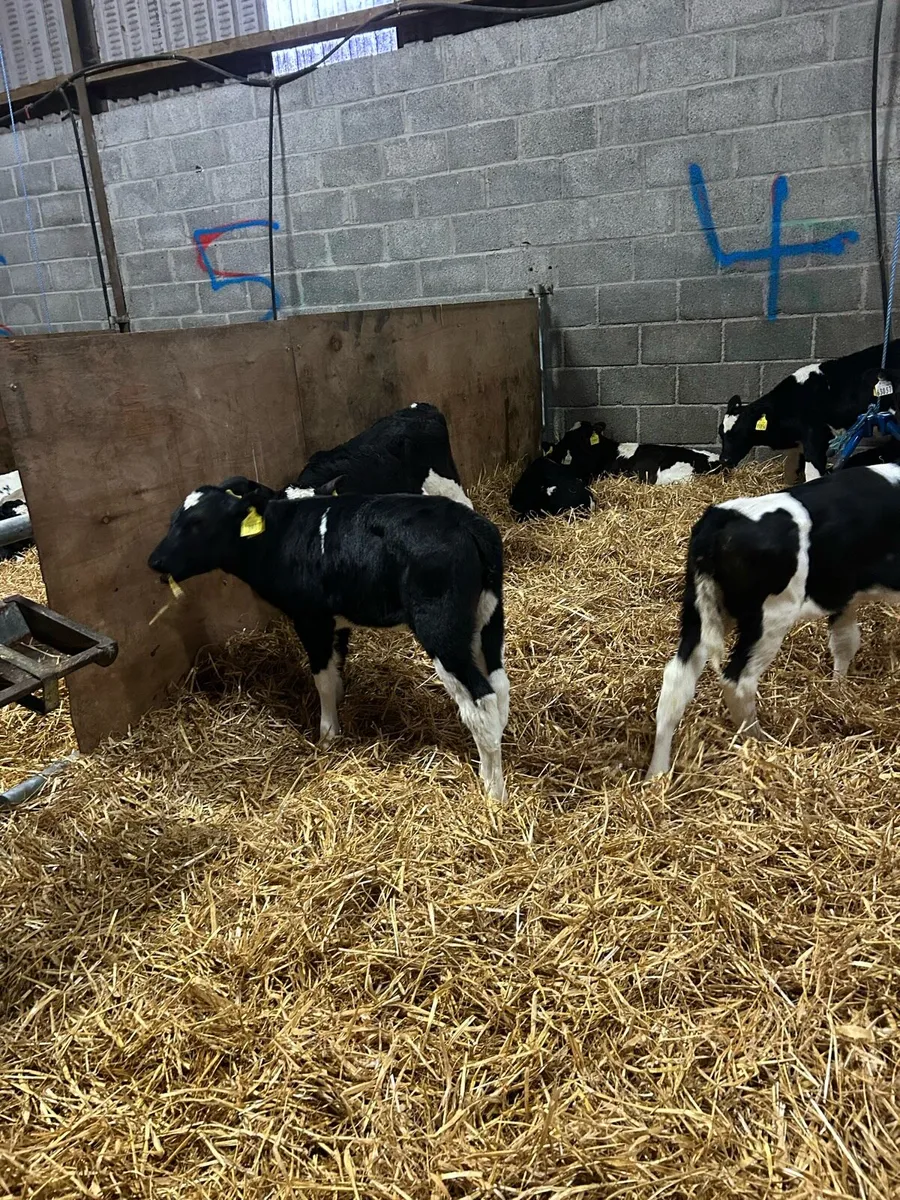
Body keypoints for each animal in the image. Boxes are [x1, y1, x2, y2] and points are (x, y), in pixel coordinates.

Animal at [148, 477, 509, 799]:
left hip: (441, 627)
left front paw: (326, 736)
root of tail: (469, 523)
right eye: (173, 519)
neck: (279, 538)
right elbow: (337, 673)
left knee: (481, 698)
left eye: (197, 523)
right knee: (500, 685)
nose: (155, 561)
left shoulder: (312, 619)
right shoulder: (338, 622)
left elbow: (322, 679)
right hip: (488, 617)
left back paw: (493, 793)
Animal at [645, 464, 900, 779]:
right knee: (738, 680)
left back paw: (656, 775)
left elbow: (845, 642)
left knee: (676, 682)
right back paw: (761, 743)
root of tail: (722, 517)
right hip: (769, 617)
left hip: (698, 611)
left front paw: (837, 691)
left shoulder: (845, 596)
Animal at [718, 341, 900, 483]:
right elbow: (791, 470)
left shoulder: (815, 438)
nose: (724, 460)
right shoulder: (799, 444)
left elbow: (812, 474)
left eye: (738, 433)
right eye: (721, 434)